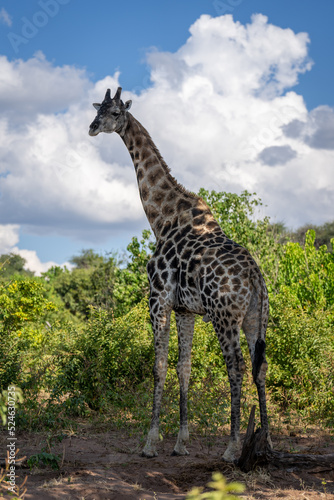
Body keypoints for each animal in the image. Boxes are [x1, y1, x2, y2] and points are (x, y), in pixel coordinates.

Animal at [88, 86, 272, 460]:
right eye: (97, 108)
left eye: (115, 112)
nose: (92, 127)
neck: (161, 219)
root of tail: (255, 276)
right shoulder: (185, 309)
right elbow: (183, 367)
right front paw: (181, 441)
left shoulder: (157, 298)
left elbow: (158, 366)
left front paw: (150, 442)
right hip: (255, 316)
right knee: (259, 366)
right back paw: (267, 443)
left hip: (224, 315)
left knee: (236, 366)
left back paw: (232, 447)